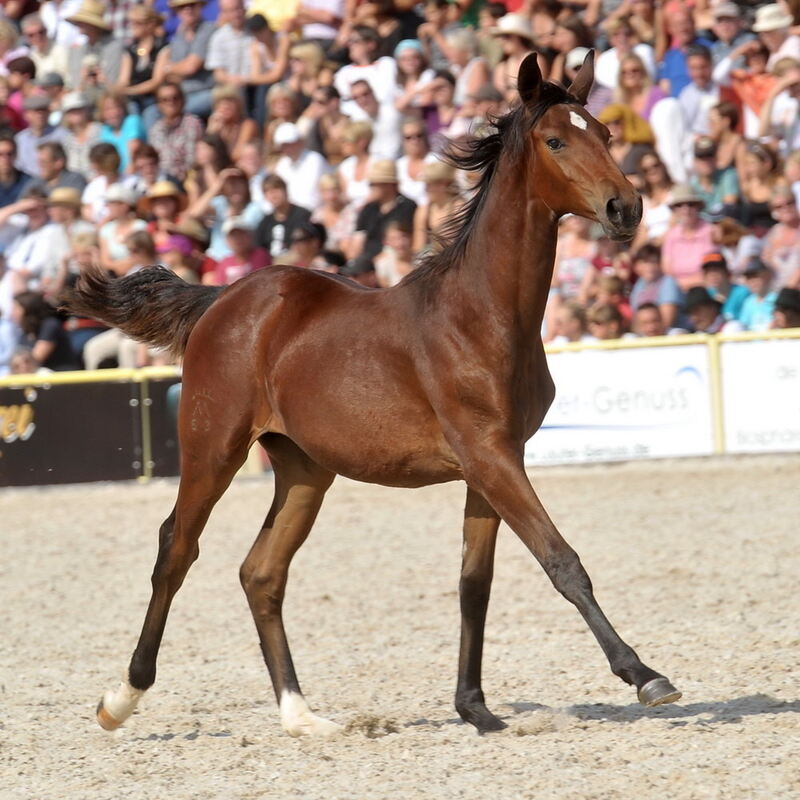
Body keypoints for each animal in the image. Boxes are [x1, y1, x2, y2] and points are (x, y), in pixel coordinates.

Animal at [67, 54, 680, 736]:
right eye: (556, 141)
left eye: (605, 133)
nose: (626, 208)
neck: (480, 315)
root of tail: (220, 299)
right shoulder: (489, 456)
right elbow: (562, 560)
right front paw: (645, 675)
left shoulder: (493, 463)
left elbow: (475, 583)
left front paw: (476, 709)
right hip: (213, 448)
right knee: (177, 548)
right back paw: (122, 698)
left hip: (304, 468)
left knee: (261, 572)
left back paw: (302, 715)